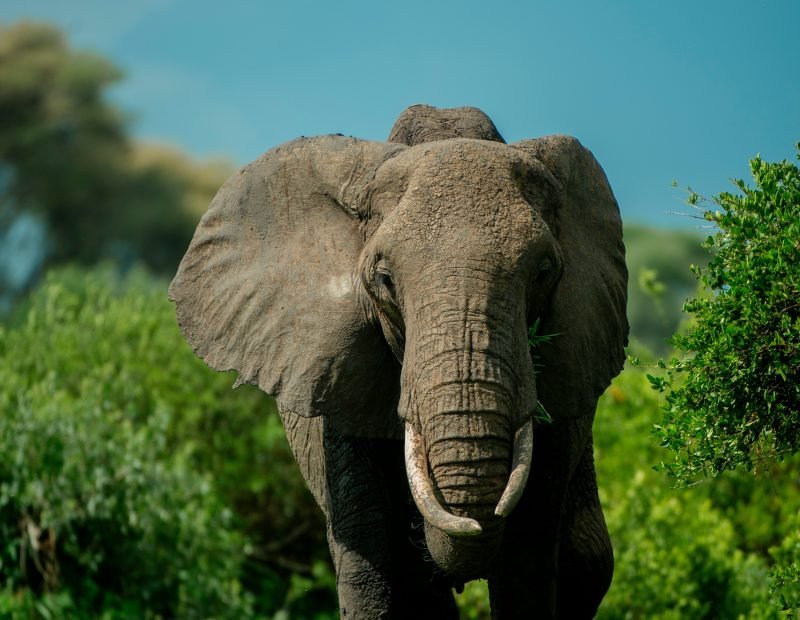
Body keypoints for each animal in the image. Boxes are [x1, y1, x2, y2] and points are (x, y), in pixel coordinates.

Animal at [169, 104, 628, 619]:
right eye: (385, 279)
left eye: (545, 272)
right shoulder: (335, 382)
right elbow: (372, 567)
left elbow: (527, 566)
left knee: (586, 562)